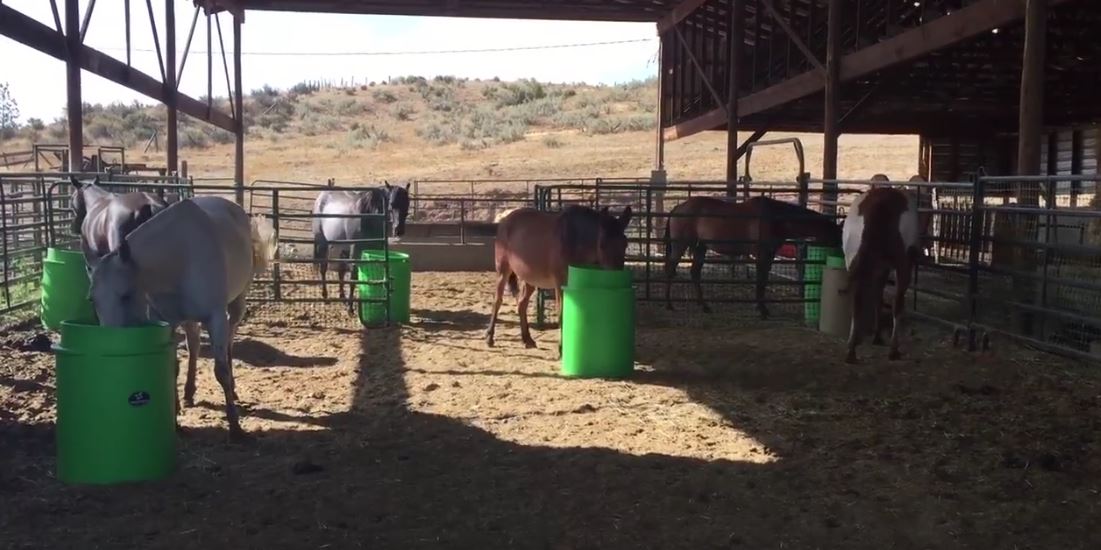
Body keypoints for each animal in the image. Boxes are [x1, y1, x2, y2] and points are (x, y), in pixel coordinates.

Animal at [90, 195, 279, 440]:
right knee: (195, 345)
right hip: (189, 320)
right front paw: (175, 421)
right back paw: (188, 393)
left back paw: (233, 388)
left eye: (126, 295)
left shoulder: (215, 318)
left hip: (237, 303)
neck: (180, 256)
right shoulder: (168, 322)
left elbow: (221, 371)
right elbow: (172, 367)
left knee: (229, 339)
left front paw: (235, 427)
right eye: (93, 300)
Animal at [486, 205, 634, 352]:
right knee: (497, 300)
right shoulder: (560, 283)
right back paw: (489, 337)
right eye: (602, 245)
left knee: (522, 304)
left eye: (625, 244)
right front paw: (561, 348)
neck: (575, 240)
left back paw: (527, 339)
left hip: (530, 279)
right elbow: (562, 312)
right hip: (503, 270)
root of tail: (504, 220)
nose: (616, 276)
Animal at [660, 196, 841, 319]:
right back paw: (668, 304)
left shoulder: (770, 255)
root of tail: (677, 208)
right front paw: (761, 309)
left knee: (694, 273)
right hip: (680, 245)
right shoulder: (762, 255)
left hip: (700, 247)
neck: (775, 218)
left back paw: (704, 306)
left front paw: (762, 307)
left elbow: (764, 280)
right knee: (670, 270)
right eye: (838, 236)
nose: (842, 255)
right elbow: (760, 281)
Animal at [841, 187, 920, 363]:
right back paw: (893, 350)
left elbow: (877, 298)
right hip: (903, 265)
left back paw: (851, 349)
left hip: (852, 260)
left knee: (857, 301)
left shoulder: (880, 268)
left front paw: (876, 336)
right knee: (897, 303)